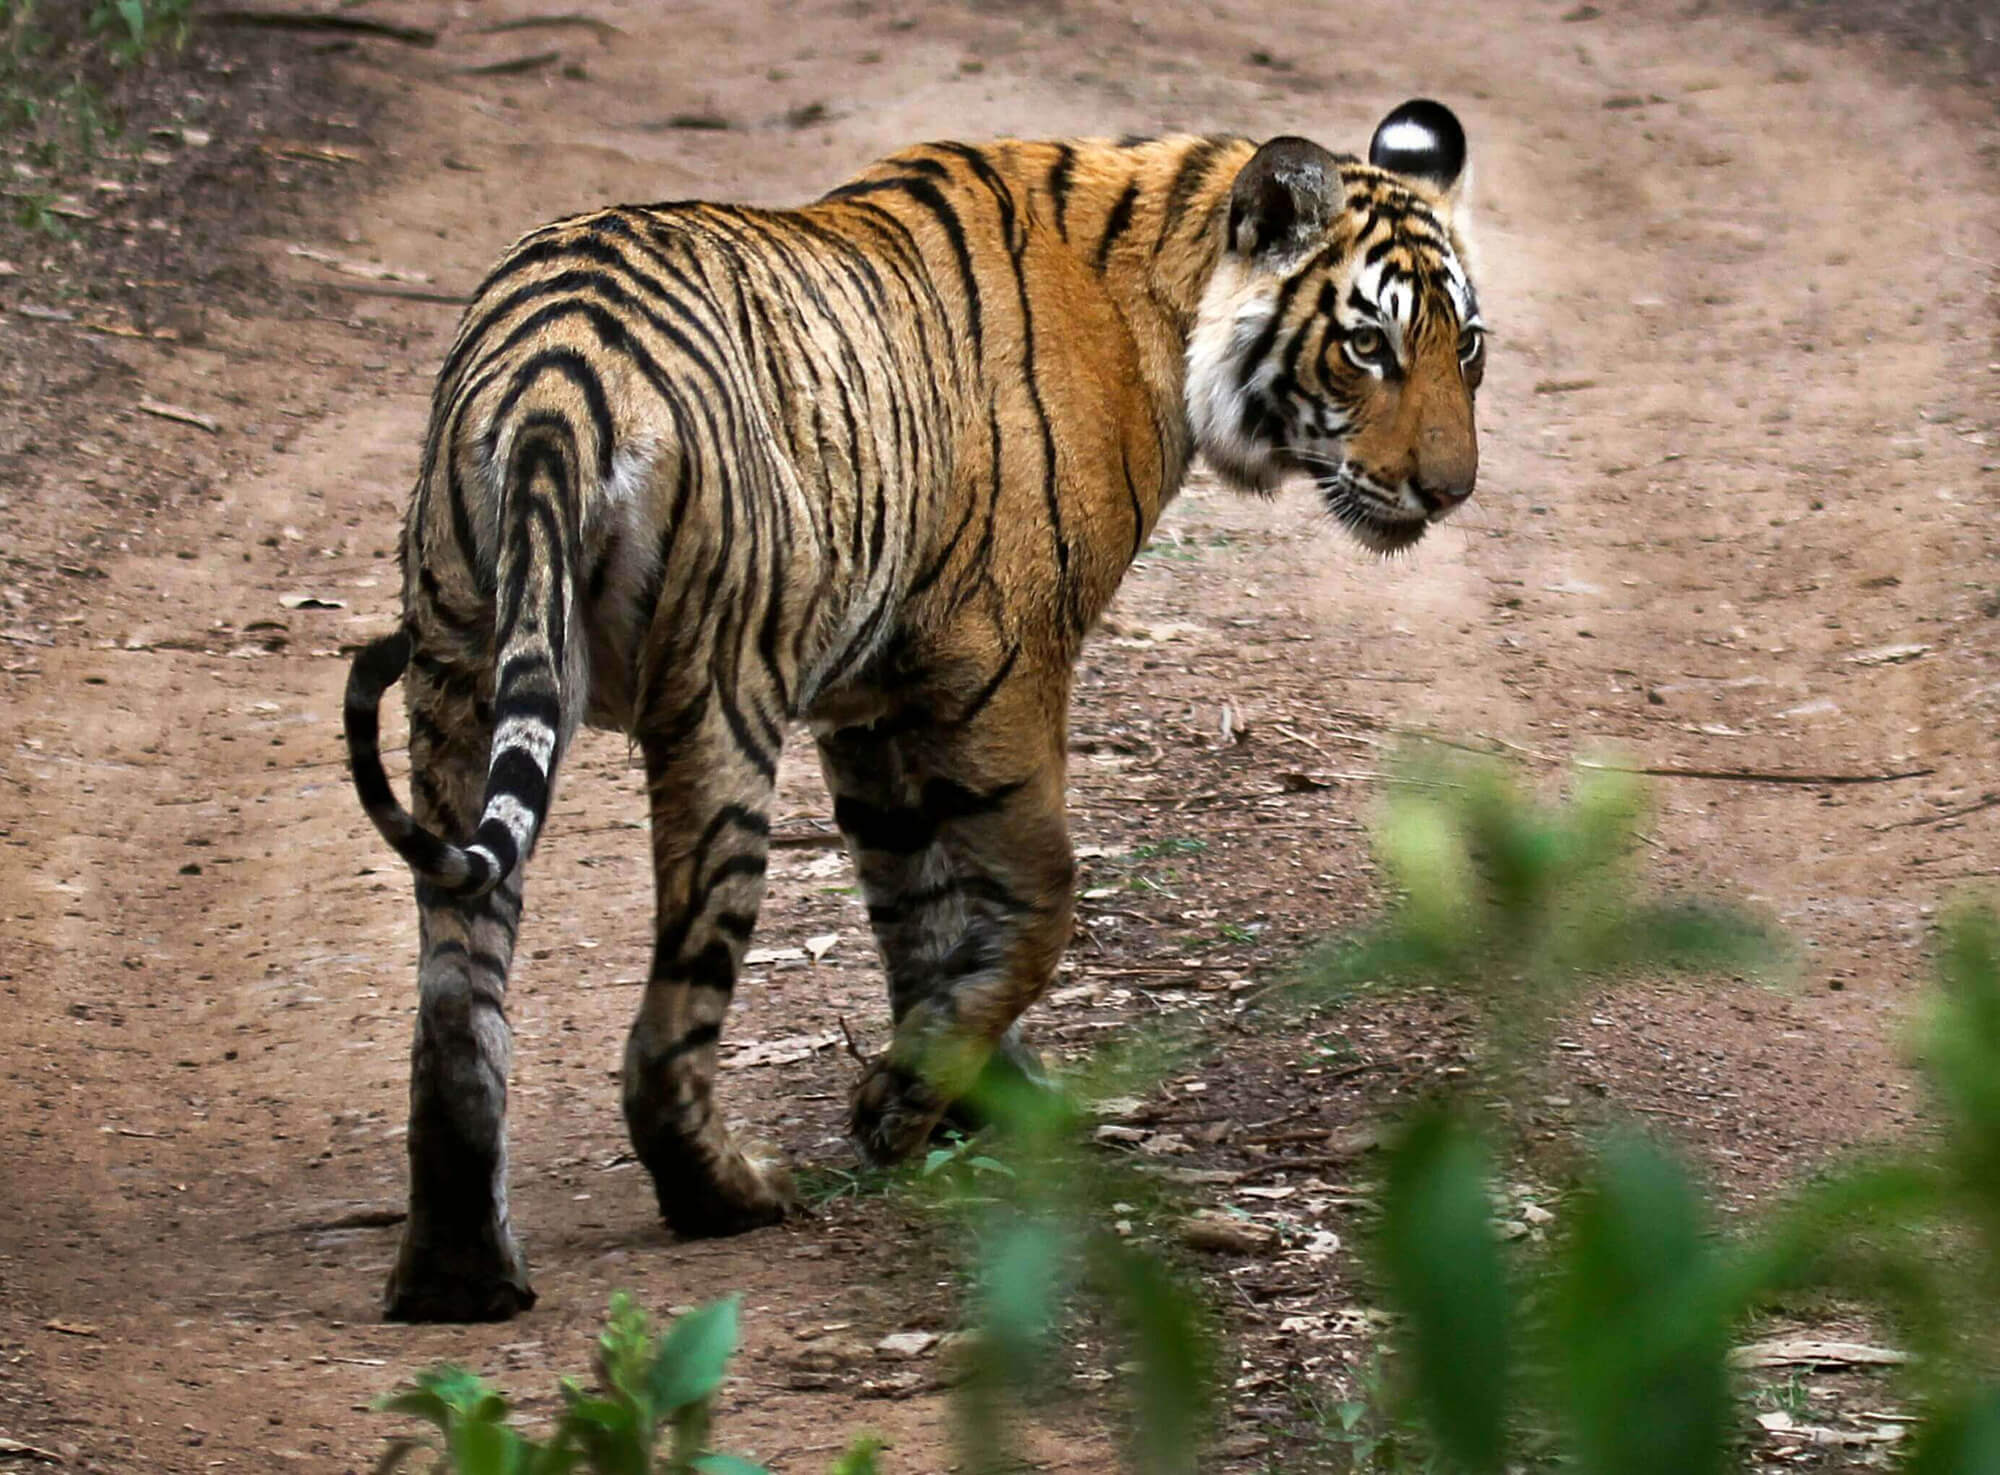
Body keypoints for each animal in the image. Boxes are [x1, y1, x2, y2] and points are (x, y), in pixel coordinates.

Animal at [344, 97, 1480, 1319]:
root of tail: (553, 381)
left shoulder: (871, 698)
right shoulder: (1000, 662)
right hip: (718, 703)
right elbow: (1035, 898)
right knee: (666, 1022)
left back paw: (459, 1274)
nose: (1449, 490)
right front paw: (909, 1106)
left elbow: (917, 904)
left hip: (457, 679)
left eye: (1463, 345)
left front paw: (959, 1091)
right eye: (1366, 346)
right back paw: (729, 1196)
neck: (1168, 287)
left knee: (455, 999)